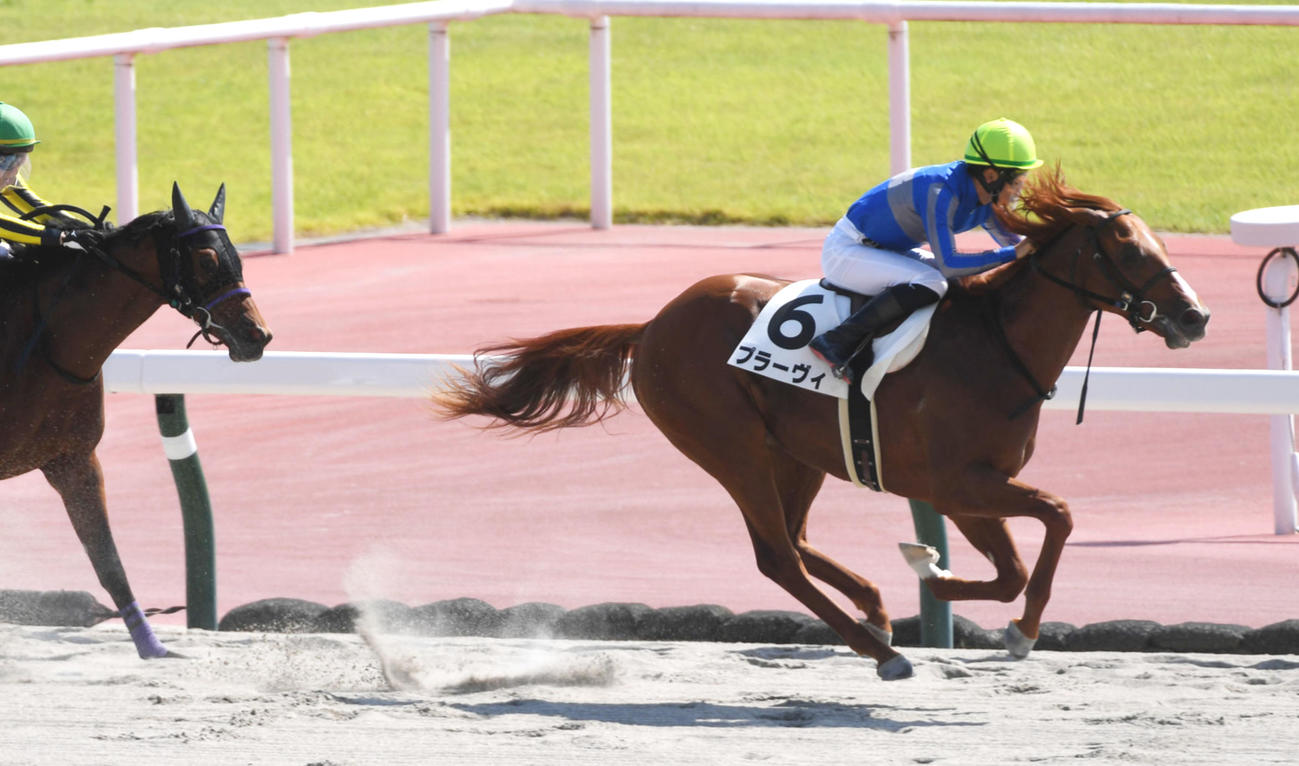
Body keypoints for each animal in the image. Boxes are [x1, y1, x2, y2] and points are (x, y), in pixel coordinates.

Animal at [0, 183, 272, 658]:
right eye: (206, 260)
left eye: (237, 255)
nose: (257, 334)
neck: (46, 342)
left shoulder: (73, 460)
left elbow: (109, 562)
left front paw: (154, 647)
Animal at [434, 170, 1209, 680]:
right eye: (1130, 250)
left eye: (1162, 244)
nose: (1194, 317)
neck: (996, 345)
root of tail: (651, 325)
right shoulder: (956, 484)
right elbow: (1056, 519)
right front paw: (1003, 623)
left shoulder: (971, 489)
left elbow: (1015, 564)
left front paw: (936, 576)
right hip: (730, 446)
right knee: (777, 556)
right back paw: (883, 652)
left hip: (797, 452)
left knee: (798, 541)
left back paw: (873, 611)